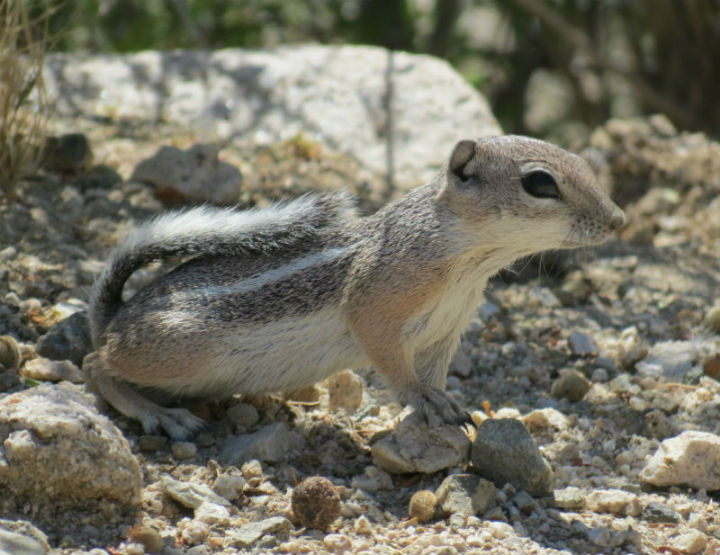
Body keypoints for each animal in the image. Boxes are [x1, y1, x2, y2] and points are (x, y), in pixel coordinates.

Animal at [83, 135, 624, 438]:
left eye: (585, 165)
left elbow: (435, 372)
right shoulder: (374, 308)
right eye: (540, 183)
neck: (470, 260)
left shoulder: (446, 332)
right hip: (181, 349)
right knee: (95, 364)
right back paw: (161, 416)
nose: (618, 220)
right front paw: (424, 400)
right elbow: (394, 366)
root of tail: (114, 317)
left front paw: (447, 402)